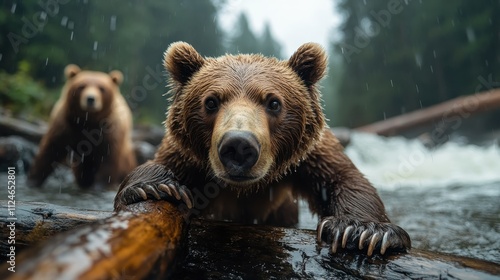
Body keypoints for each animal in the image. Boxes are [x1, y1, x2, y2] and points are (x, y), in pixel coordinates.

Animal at [115, 41, 412, 256]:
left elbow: (345, 178)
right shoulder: (189, 156)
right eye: (211, 101)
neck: (246, 189)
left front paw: (361, 231)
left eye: (274, 102)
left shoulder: (308, 157)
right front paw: (154, 186)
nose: (238, 145)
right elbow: (161, 166)